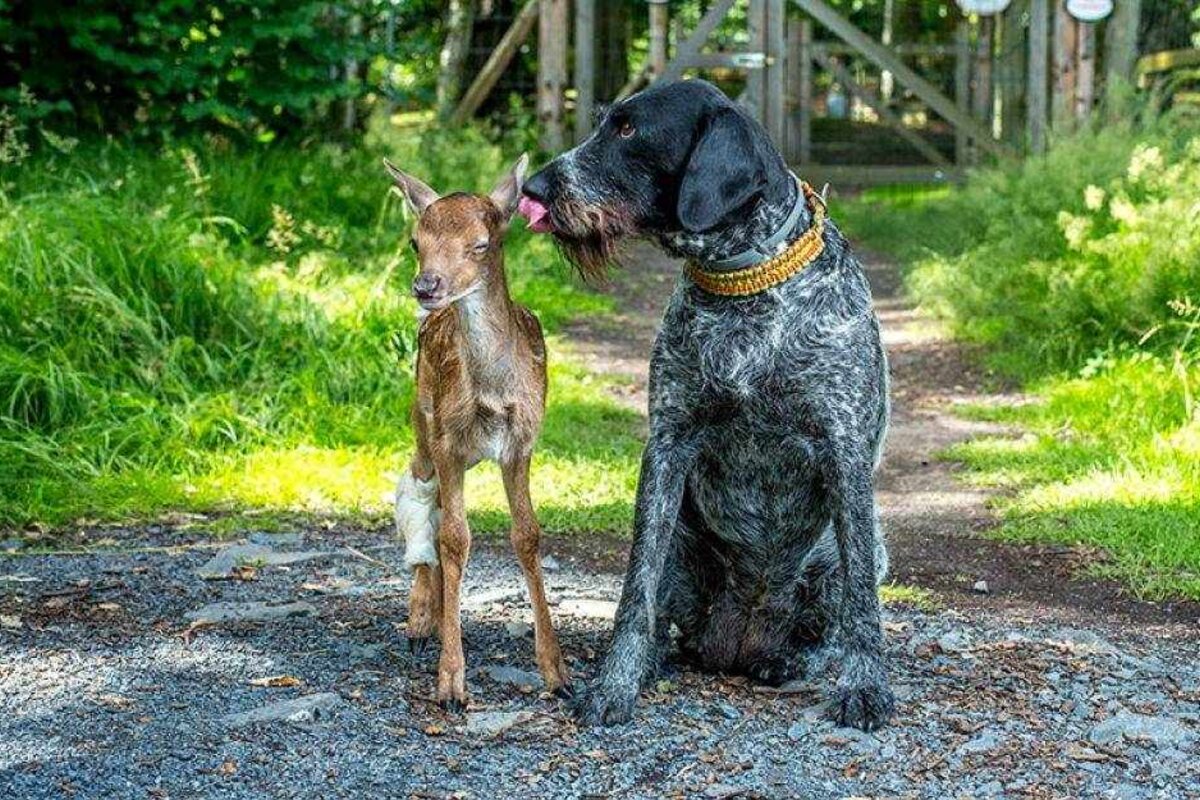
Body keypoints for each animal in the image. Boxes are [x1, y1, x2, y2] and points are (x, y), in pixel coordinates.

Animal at [520, 81, 897, 734]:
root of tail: (737, 643)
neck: (743, 284)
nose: (534, 188)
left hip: (860, 551)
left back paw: (796, 661)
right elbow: (635, 592)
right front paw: (616, 683)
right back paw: (656, 661)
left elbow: (862, 610)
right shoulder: (668, 444)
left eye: (628, 130)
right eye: (603, 122)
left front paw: (865, 686)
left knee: (834, 618)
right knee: (664, 618)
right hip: (683, 546)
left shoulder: (843, 449)